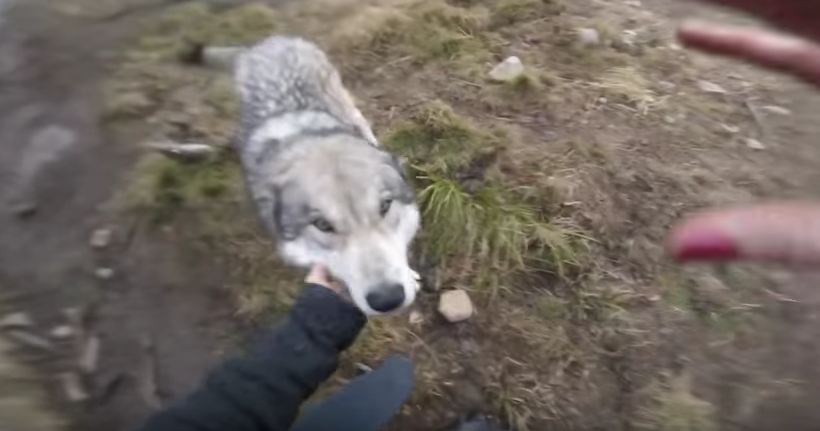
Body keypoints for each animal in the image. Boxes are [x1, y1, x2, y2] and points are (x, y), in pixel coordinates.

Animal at [234, 36, 420, 314]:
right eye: (322, 225)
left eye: (385, 206)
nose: (387, 299)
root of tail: (270, 41)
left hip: (343, 101)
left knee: (360, 120)